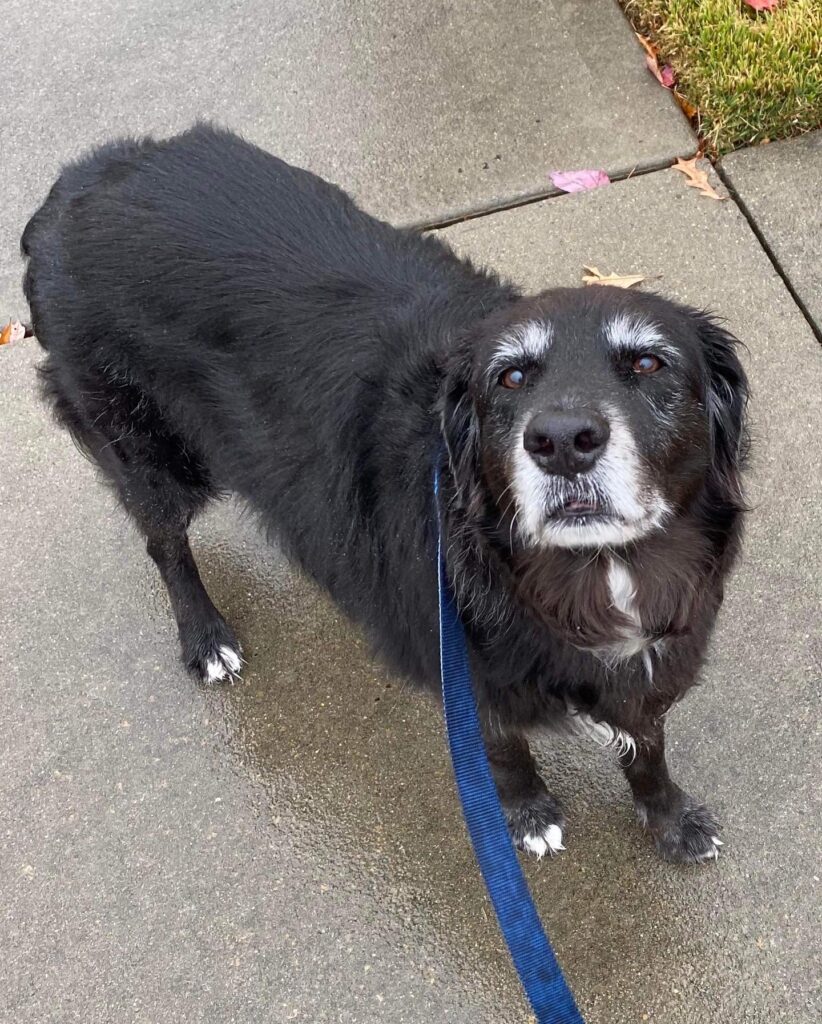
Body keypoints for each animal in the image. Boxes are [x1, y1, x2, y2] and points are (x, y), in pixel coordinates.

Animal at [22, 125, 749, 864]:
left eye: (649, 363)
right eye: (510, 377)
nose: (562, 441)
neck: (591, 572)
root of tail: (78, 181)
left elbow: (647, 746)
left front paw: (669, 817)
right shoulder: (460, 668)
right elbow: (506, 754)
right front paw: (528, 815)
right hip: (147, 451)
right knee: (164, 542)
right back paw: (205, 636)